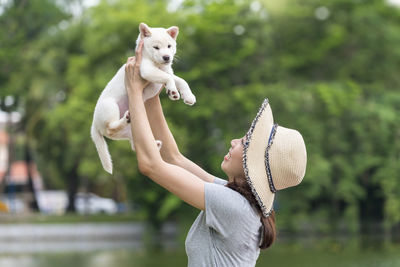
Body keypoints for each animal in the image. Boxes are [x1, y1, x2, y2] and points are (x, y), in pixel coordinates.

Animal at [91, 22, 197, 174]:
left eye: (169, 46)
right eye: (156, 47)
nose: (167, 57)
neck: (157, 64)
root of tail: (93, 124)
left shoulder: (168, 71)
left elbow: (181, 80)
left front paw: (188, 96)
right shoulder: (147, 70)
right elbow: (169, 78)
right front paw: (172, 90)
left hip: (132, 131)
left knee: (134, 145)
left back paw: (154, 143)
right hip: (110, 106)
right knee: (110, 128)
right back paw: (125, 119)